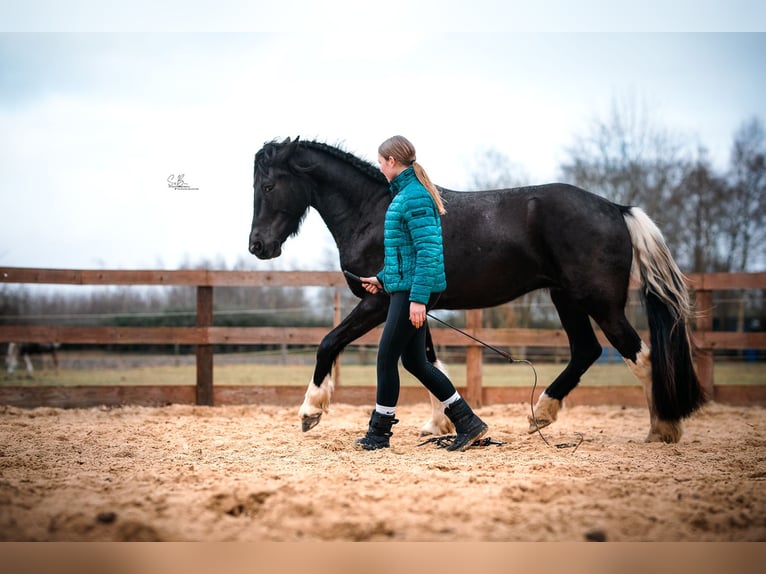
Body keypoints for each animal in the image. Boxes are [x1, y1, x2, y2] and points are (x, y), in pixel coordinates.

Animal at [252, 138, 708, 446]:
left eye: (269, 186)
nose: (258, 246)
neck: (375, 212)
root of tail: (616, 208)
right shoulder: (416, 305)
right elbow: (427, 362)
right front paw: (441, 423)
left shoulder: (379, 300)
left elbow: (329, 342)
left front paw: (311, 409)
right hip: (566, 298)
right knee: (586, 351)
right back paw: (542, 414)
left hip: (600, 302)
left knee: (640, 356)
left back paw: (662, 429)